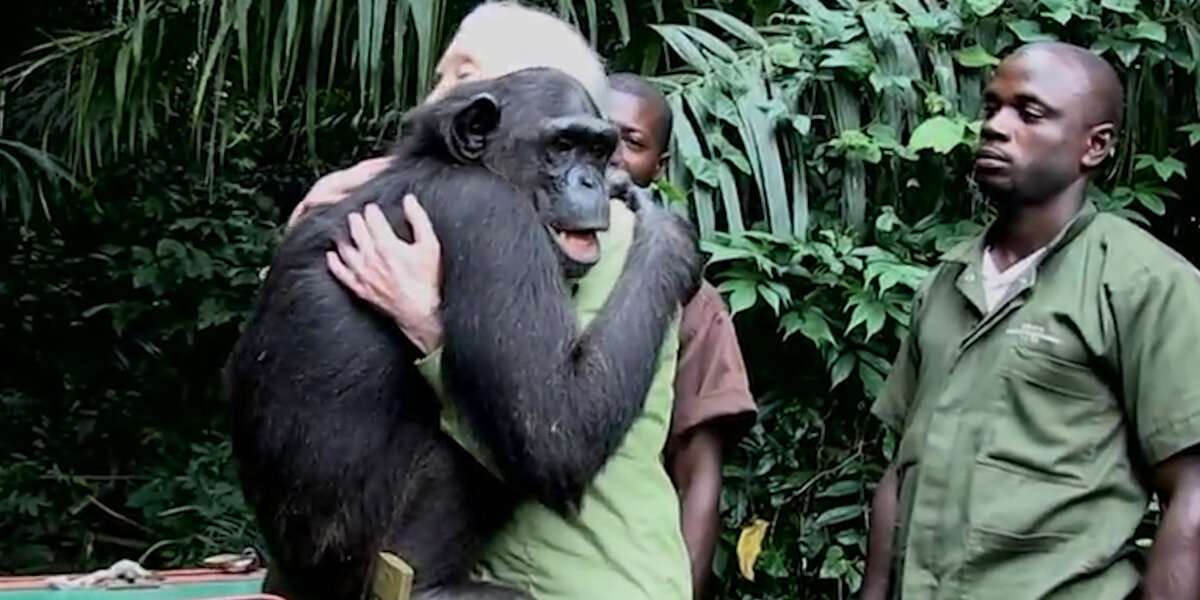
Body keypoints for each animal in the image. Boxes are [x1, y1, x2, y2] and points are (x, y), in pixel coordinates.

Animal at [225, 64, 700, 600]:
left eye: (599, 150)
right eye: (561, 146)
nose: (592, 181)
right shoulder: (493, 220)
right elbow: (556, 424)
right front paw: (670, 237)